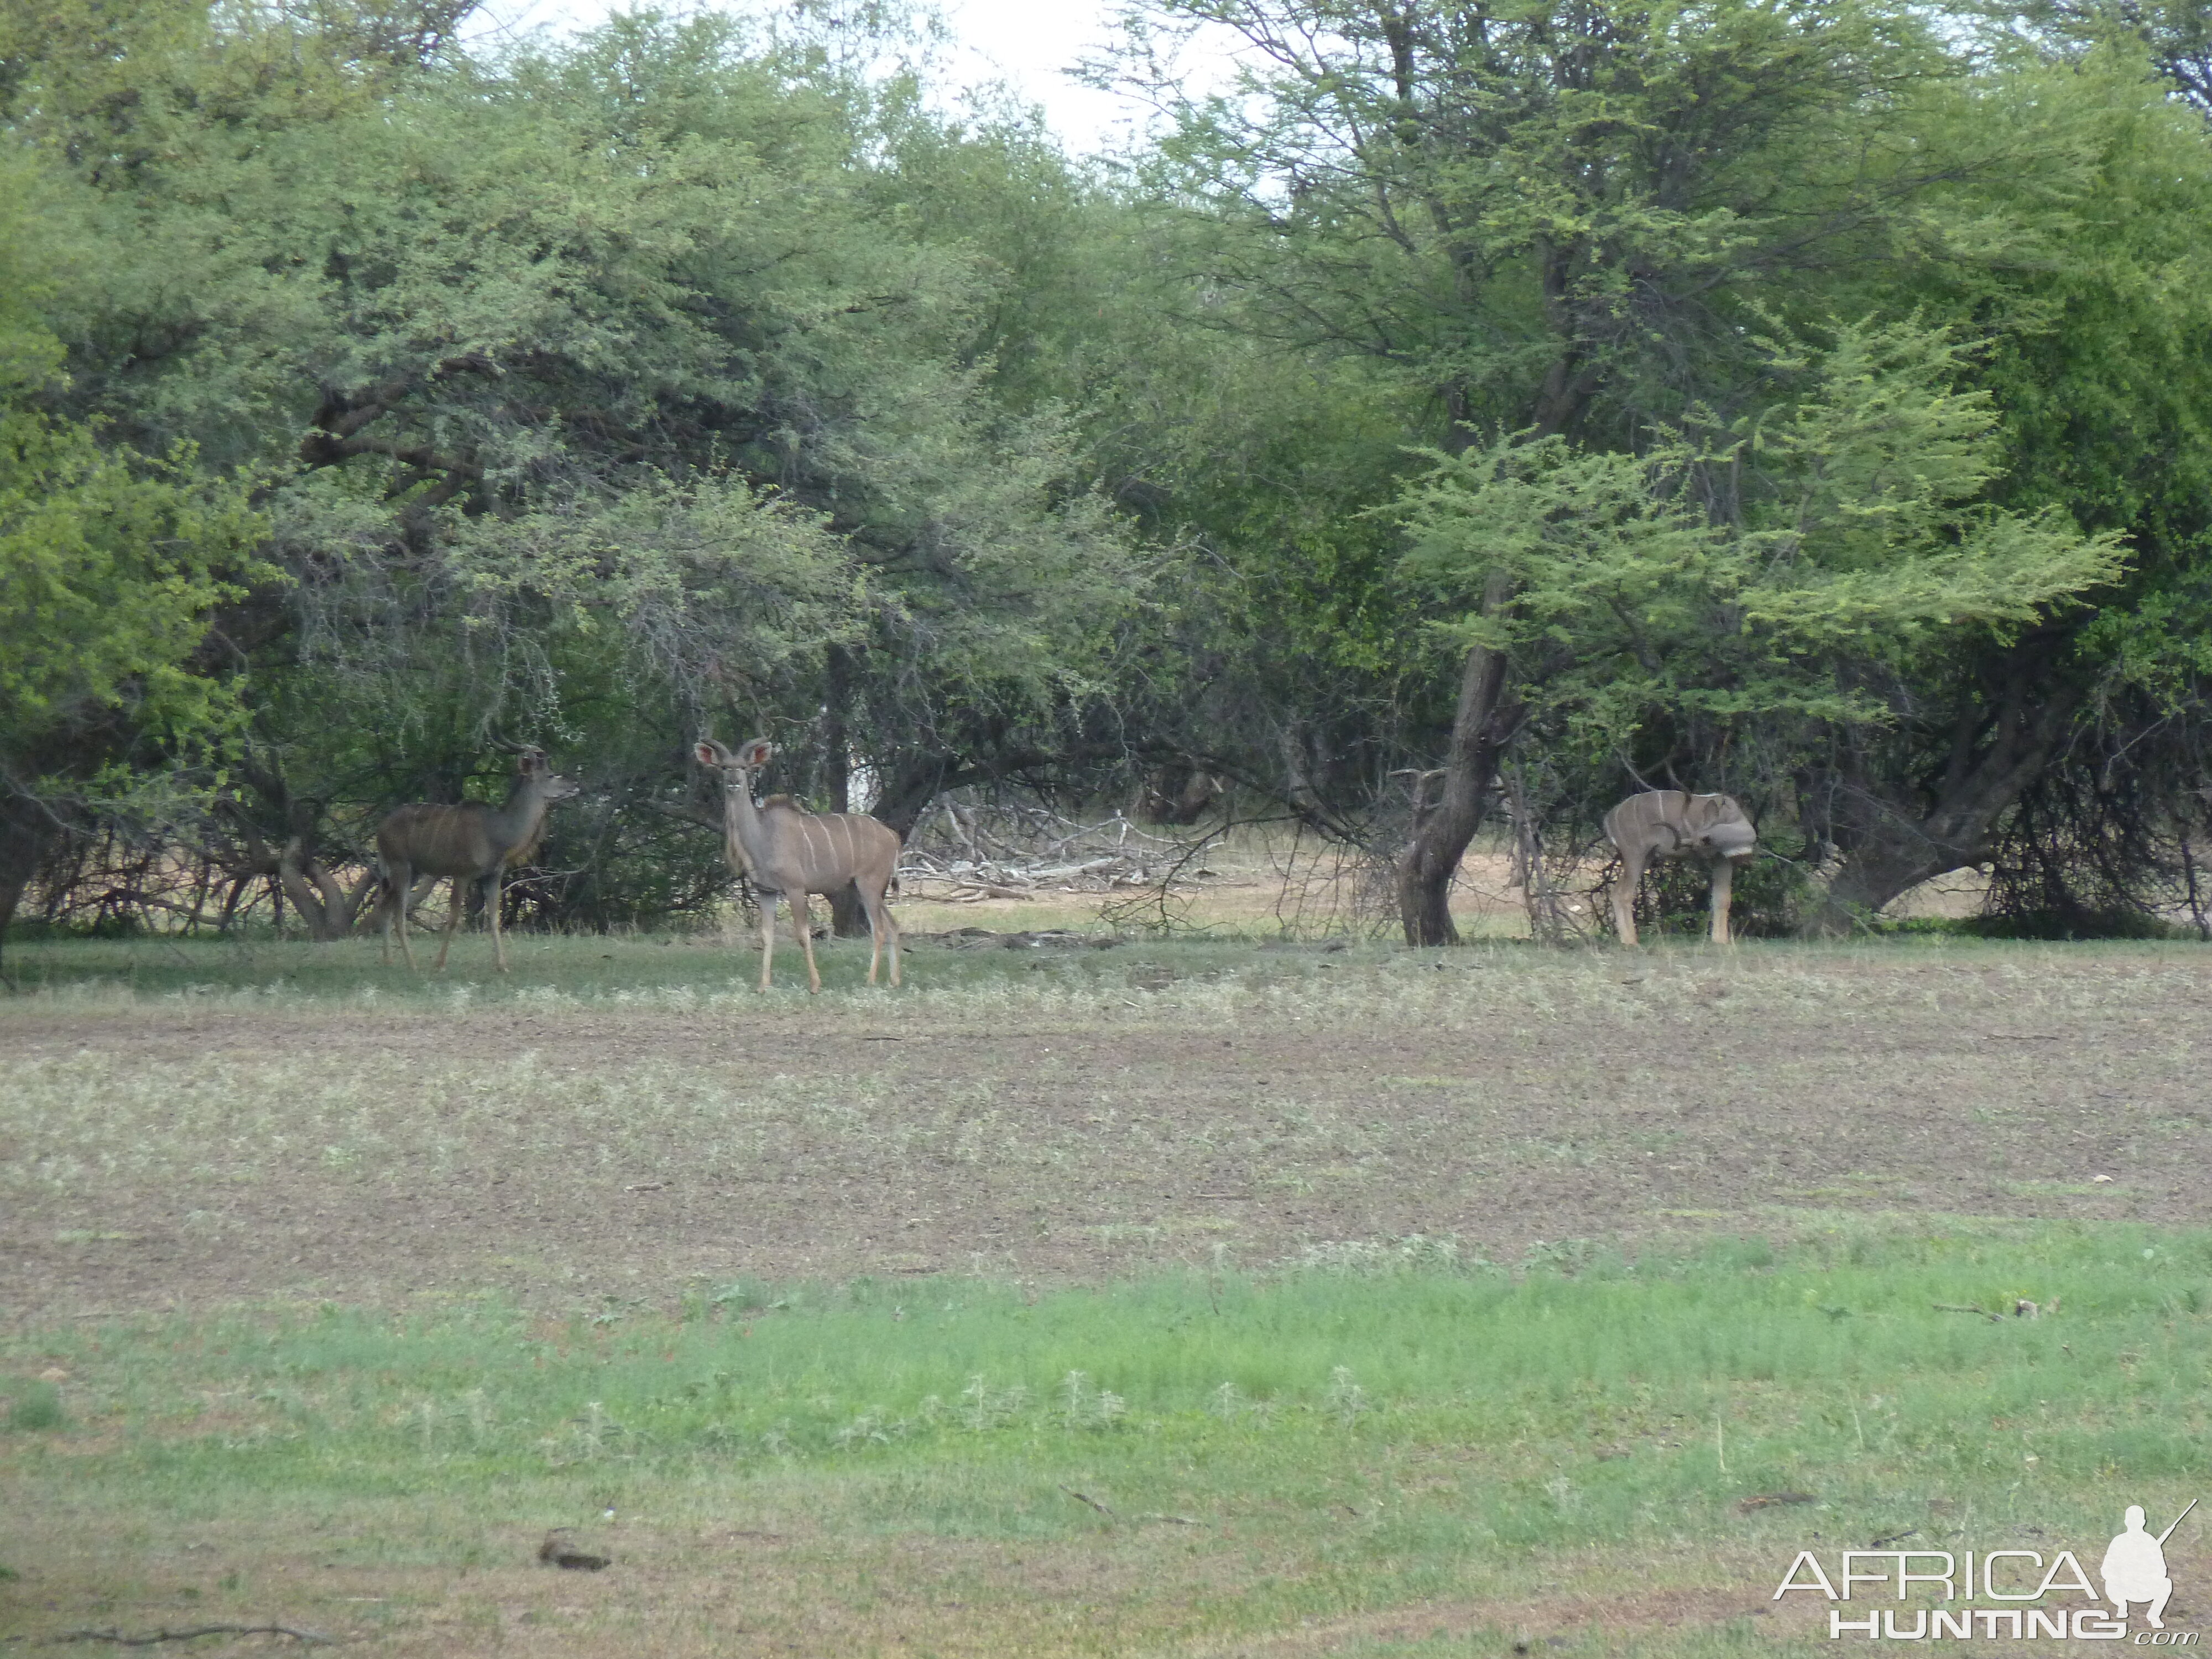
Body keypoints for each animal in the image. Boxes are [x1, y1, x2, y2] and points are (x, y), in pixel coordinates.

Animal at [376, 752, 580, 973]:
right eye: (551, 775)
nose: (575, 785)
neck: (498, 832)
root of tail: (380, 829)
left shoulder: (493, 876)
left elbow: (494, 919)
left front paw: (502, 966)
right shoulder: (462, 874)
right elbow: (454, 919)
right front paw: (440, 965)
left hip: (413, 872)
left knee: (384, 906)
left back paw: (389, 962)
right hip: (401, 866)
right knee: (398, 914)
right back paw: (412, 965)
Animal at [690, 739, 898, 995]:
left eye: (745, 768)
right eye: (724, 767)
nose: (734, 783)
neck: (763, 836)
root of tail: (893, 836)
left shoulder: (796, 888)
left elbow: (802, 935)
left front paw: (815, 985)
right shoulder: (766, 891)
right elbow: (766, 935)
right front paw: (762, 986)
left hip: (869, 883)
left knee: (879, 930)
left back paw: (869, 981)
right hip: (865, 888)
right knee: (893, 926)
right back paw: (894, 981)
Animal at [1601, 792, 1752, 947]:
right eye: (1700, 846)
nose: (1705, 858)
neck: (1734, 818)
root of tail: (1609, 818)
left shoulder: (1724, 860)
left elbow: (1722, 898)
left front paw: (1720, 940)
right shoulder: (1721, 858)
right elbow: (1721, 898)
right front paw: (1721, 940)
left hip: (1647, 857)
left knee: (1616, 891)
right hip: (1635, 855)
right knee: (1625, 894)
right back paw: (1631, 941)